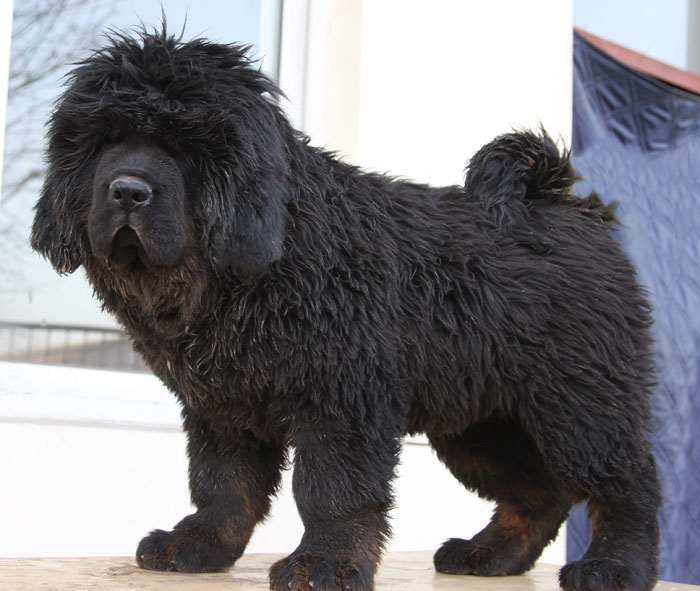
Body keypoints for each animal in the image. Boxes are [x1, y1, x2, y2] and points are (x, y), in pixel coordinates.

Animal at [30, 28, 660, 591]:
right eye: (105, 141)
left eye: (184, 148)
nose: (127, 191)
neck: (259, 268)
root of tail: (571, 207)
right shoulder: (222, 406)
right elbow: (221, 485)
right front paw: (199, 545)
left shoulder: (342, 398)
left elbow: (331, 490)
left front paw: (324, 564)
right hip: (481, 422)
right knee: (538, 494)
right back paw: (489, 554)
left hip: (582, 404)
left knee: (627, 485)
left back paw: (616, 567)